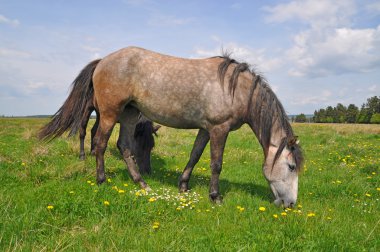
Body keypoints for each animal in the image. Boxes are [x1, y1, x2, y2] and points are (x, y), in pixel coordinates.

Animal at [40, 46, 304, 207]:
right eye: (291, 167)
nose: (290, 204)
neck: (235, 88)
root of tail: (103, 61)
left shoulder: (206, 129)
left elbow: (195, 155)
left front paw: (183, 186)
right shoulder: (219, 129)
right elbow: (216, 164)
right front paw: (215, 196)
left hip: (129, 114)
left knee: (124, 146)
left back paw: (141, 183)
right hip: (108, 113)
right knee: (100, 143)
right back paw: (102, 180)